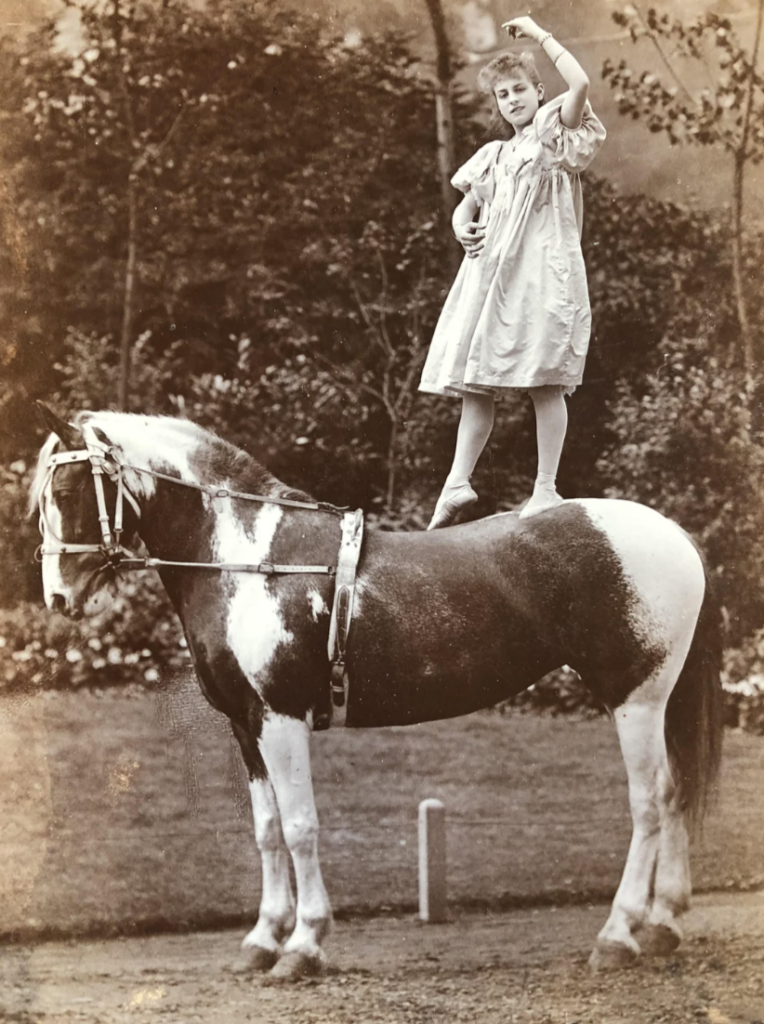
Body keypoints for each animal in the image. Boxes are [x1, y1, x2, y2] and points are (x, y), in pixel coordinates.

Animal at [31, 403, 720, 978]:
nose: (58, 598)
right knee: (677, 792)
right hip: (660, 702)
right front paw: (261, 940)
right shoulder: (245, 723)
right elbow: (267, 829)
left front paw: (304, 946)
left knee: (649, 802)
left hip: (637, 700)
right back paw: (663, 925)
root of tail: (678, 534)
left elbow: (301, 826)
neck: (249, 559)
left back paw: (618, 935)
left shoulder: (281, 718)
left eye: (66, 491)